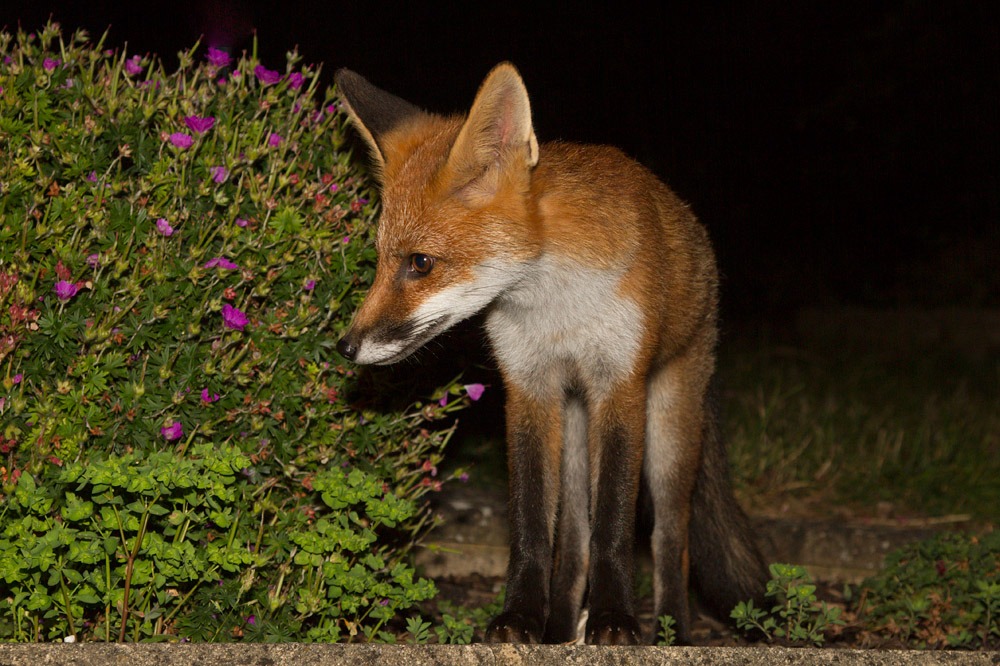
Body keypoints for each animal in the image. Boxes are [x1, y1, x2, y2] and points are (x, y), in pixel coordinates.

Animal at [333, 62, 767, 645]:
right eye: (380, 261)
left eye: (420, 263)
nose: (346, 346)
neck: (557, 309)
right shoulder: (529, 389)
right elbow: (534, 529)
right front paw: (518, 619)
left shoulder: (619, 385)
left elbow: (615, 528)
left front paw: (614, 622)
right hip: (574, 431)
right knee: (575, 542)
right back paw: (560, 629)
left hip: (668, 430)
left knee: (669, 541)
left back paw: (673, 631)